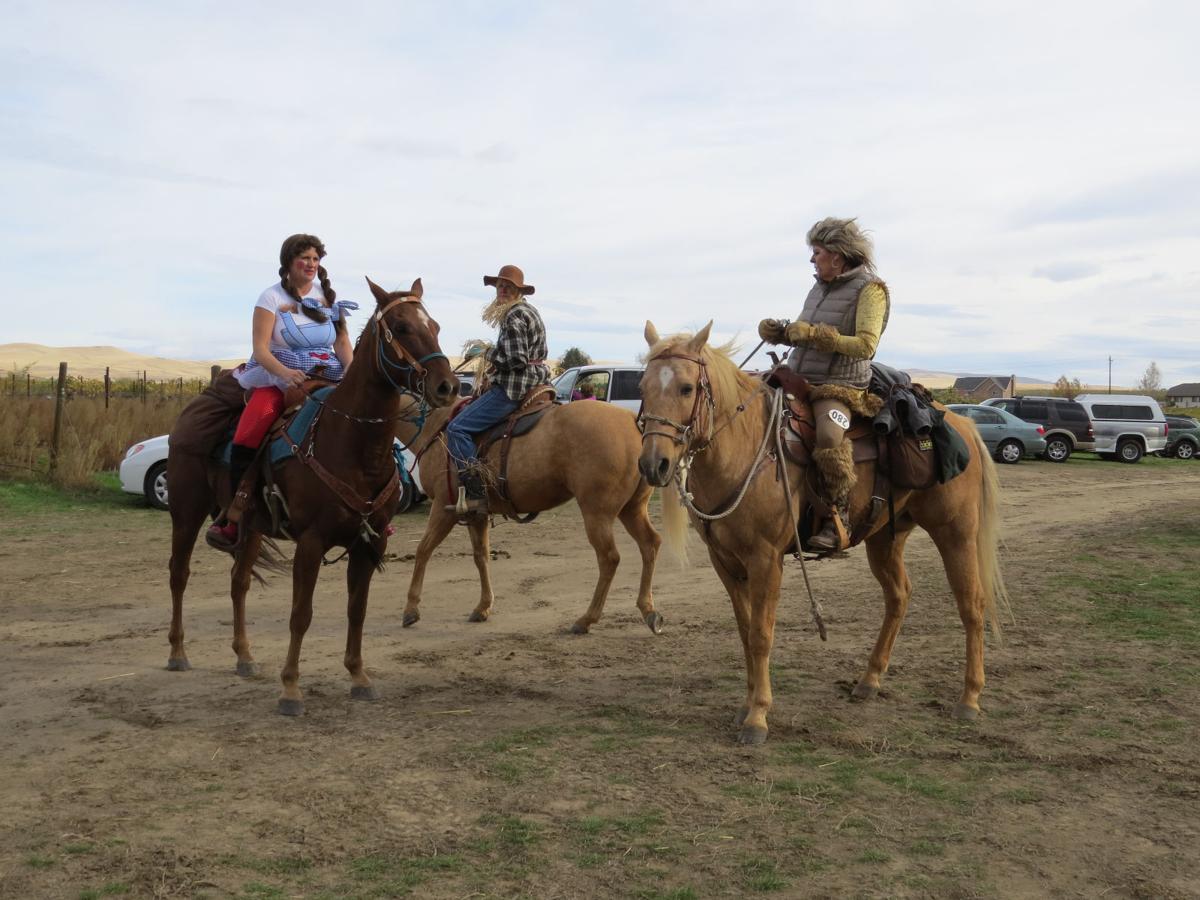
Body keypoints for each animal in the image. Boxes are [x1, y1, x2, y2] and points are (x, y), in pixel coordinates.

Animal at [165, 278, 458, 715]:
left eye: (435, 326)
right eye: (402, 327)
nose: (447, 386)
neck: (353, 446)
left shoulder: (368, 543)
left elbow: (357, 610)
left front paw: (358, 676)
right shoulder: (311, 542)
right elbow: (300, 614)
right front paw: (290, 689)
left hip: (251, 527)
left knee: (239, 582)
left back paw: (244, 656)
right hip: (186, 511)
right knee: (178, 574)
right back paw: (177, 652)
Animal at [398, 389, 663, 635]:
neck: (434, 428)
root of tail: (633, 422)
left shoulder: (444, 509)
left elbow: (423, 550)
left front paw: (411, 609)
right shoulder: (476, 514)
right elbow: (481, 556)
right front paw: (483, 606)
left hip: (597, 513)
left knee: (609, 558)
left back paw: (586, 619)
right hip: (632, 509)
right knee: (650, 544)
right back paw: (649, 611)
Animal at [637, 321, 1008, 744]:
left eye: (686, 388)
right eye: (643, 387)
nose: (653, 464)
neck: (745, 448)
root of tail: (963, 423)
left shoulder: (766, 560)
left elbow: (761, 635)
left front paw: (758, 717)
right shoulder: (725, 562)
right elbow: (746, 632)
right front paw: (746, 706)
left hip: (955, 533)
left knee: (972, 604)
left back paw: (969, 698)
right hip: (886, 537)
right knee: (898, 596)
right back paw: (869, 680)